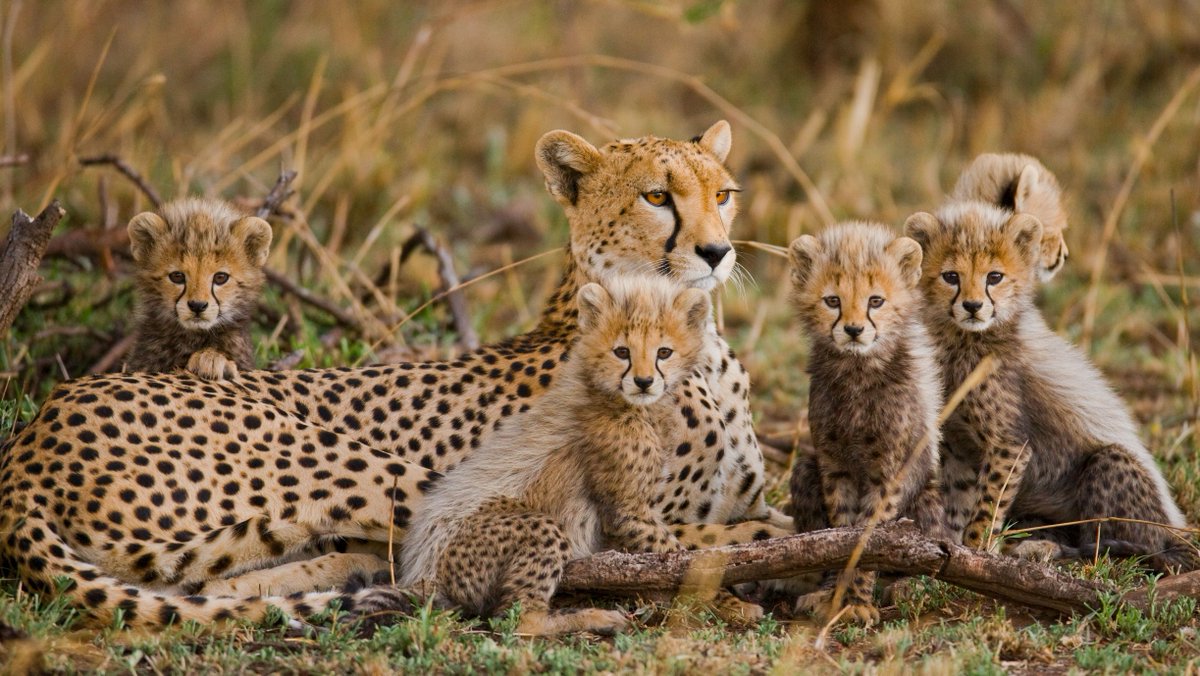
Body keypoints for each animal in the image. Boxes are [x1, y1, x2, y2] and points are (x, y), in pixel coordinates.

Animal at [398, 276, 761, 636]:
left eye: (664, 352)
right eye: (622, 352)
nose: (644, 381)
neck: (611, 396)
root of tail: (423, 572)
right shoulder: (629, 511)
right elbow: (680, 559)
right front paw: (731, 603)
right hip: (532, 528)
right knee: (520, 620)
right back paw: (593, 618)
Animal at [785, 222, 944, 625]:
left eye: (876, 301)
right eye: (832, 301)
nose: (854, 330)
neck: (858, 371)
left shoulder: (887, 472)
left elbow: (869, 538)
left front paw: (857, 600)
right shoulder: (833, 463)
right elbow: (839, 534)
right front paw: (836, 596)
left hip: (927, 497)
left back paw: (908, 586)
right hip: (805, 469)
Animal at [904, 201, 1197, 571]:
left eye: (994, 277)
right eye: (951, 276)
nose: (972, 306)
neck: (964, 340)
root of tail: (1178, 532)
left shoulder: (1010, 445)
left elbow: (986, 507)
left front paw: (975, 552)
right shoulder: (959, 445)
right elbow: (959, 501)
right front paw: (951, 551)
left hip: (1112, 470)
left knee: (1113, 547)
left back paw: (1049, 550)